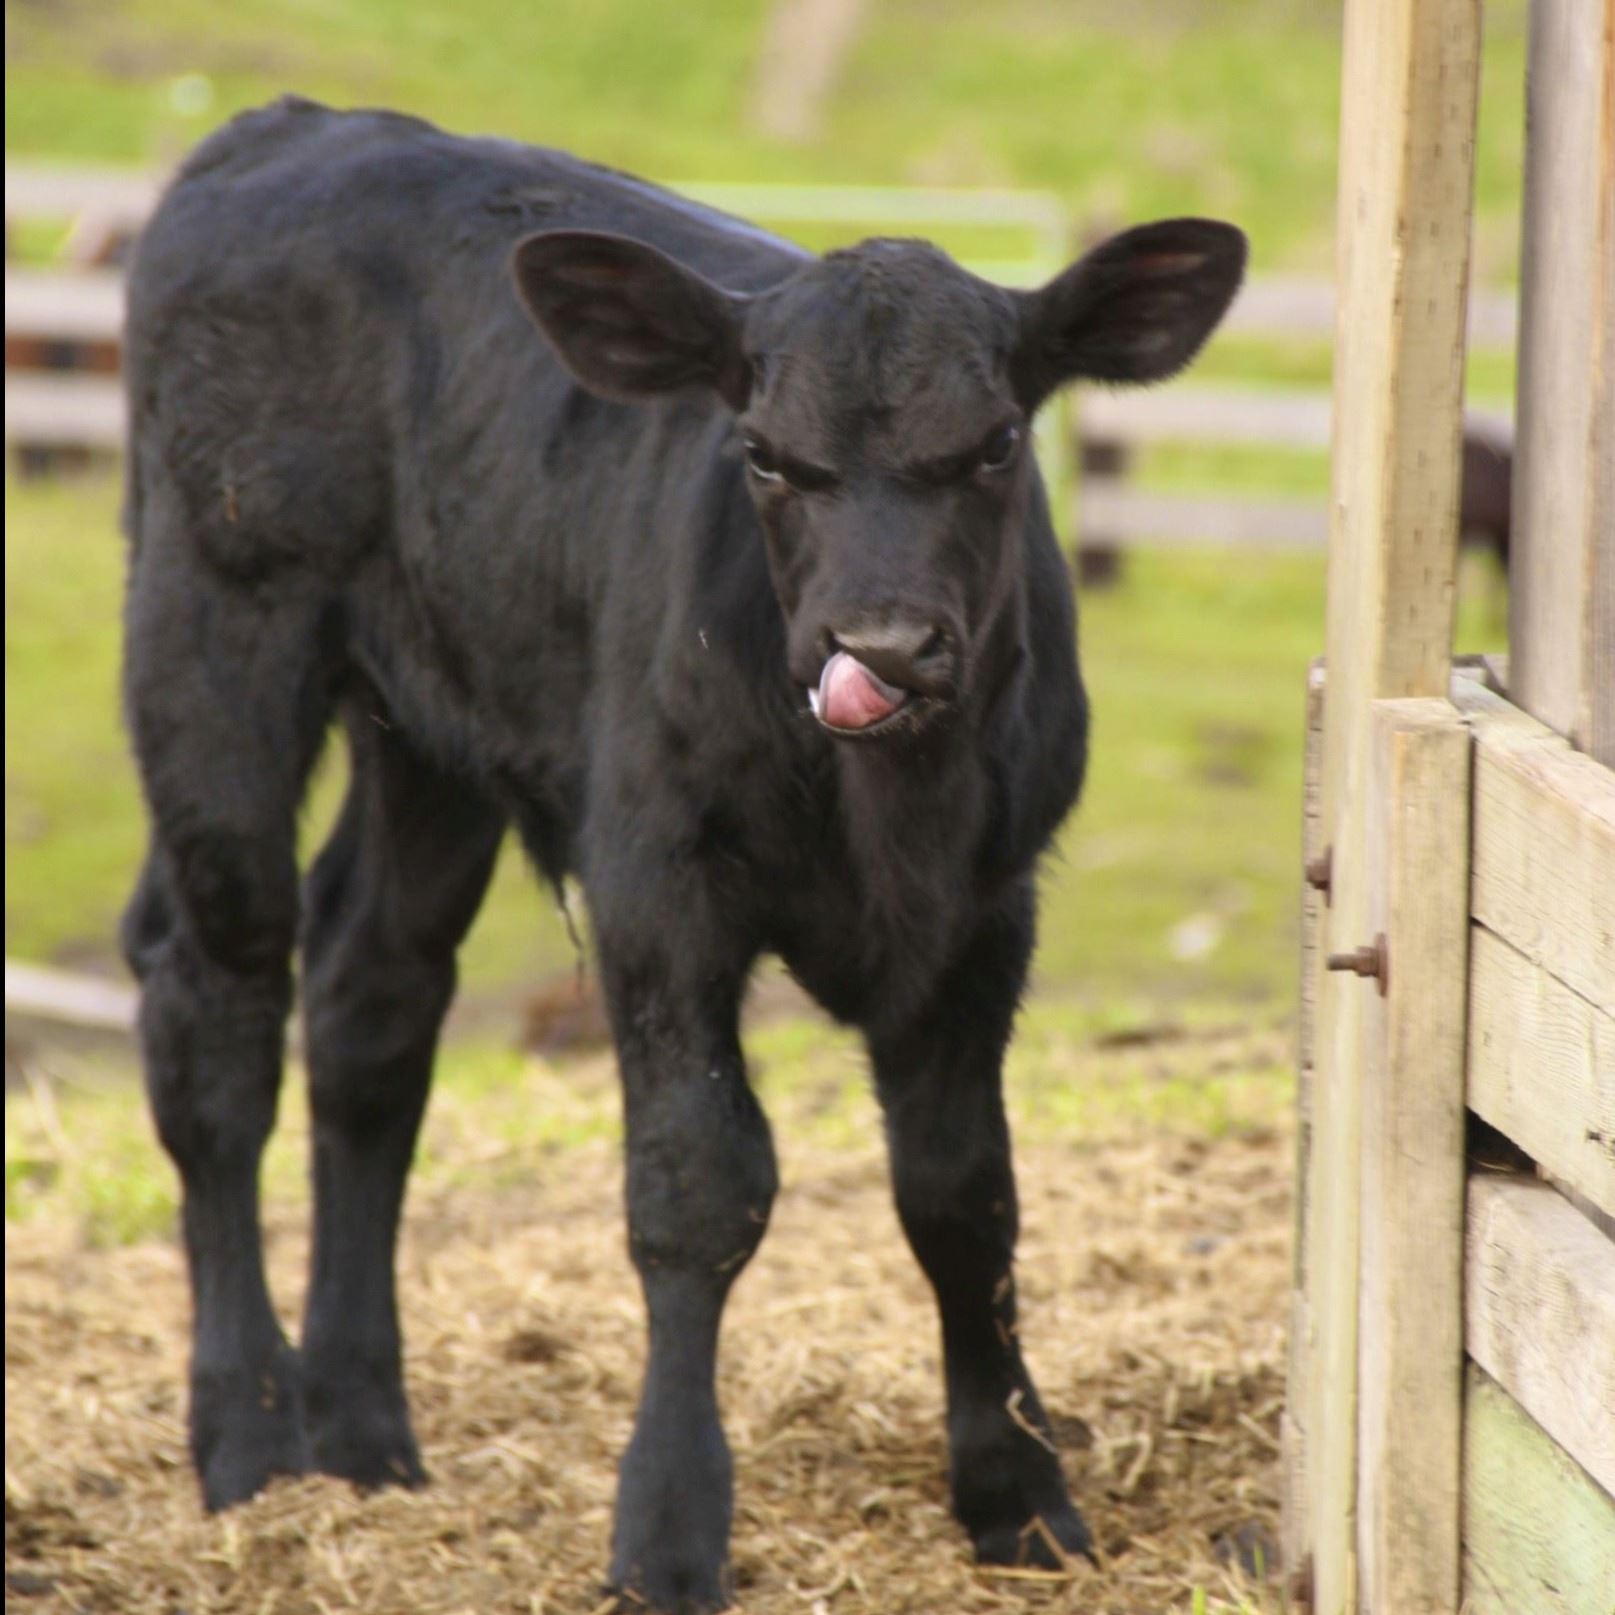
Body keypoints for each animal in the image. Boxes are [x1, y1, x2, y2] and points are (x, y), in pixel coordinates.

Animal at [119, 96, 1245, 1612]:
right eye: (763, 453)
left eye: (998, 443)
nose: (882, 647)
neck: (885, 814)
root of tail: (299, 127)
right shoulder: (656, 879)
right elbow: (698, 1182)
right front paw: (664, 1525)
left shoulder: (983, 909)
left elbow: (963, 1193)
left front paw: (1018, 1490)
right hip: (218, 631)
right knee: (219, 1011)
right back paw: (246, 1433)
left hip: (430, 717)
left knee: (371, 1000)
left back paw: (363, 1428)